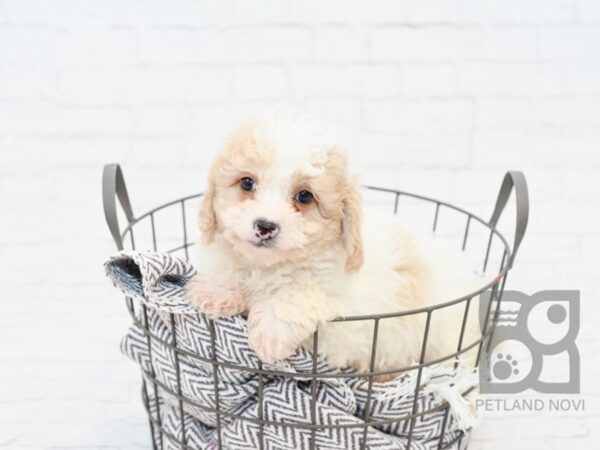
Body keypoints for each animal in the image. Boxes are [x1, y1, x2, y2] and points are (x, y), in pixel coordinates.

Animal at [186, 115, 478, 372]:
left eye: (304, 196)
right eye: (247, 182)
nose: (265, 226)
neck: (269, 267)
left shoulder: (342, 326)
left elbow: (303, 292)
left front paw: (270, 333)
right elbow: (226, 266)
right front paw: (217, 292)